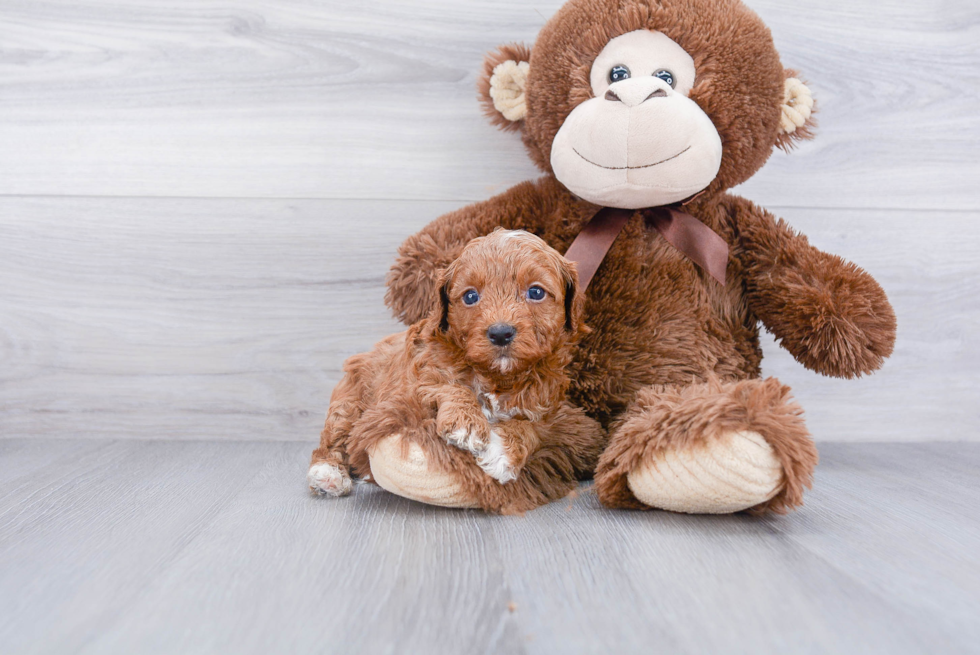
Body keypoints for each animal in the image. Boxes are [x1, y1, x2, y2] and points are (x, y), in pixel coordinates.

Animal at [306, 229, 584, 498]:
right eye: (470, 296)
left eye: (536, 292)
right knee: (334, 435)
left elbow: (533, 429)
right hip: (350, 399)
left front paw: (501, 451)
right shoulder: (415, 382)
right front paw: (467, 424)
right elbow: (448, 384)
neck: (497, 376)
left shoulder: (550, 412)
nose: (500, 333)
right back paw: (327, 474)